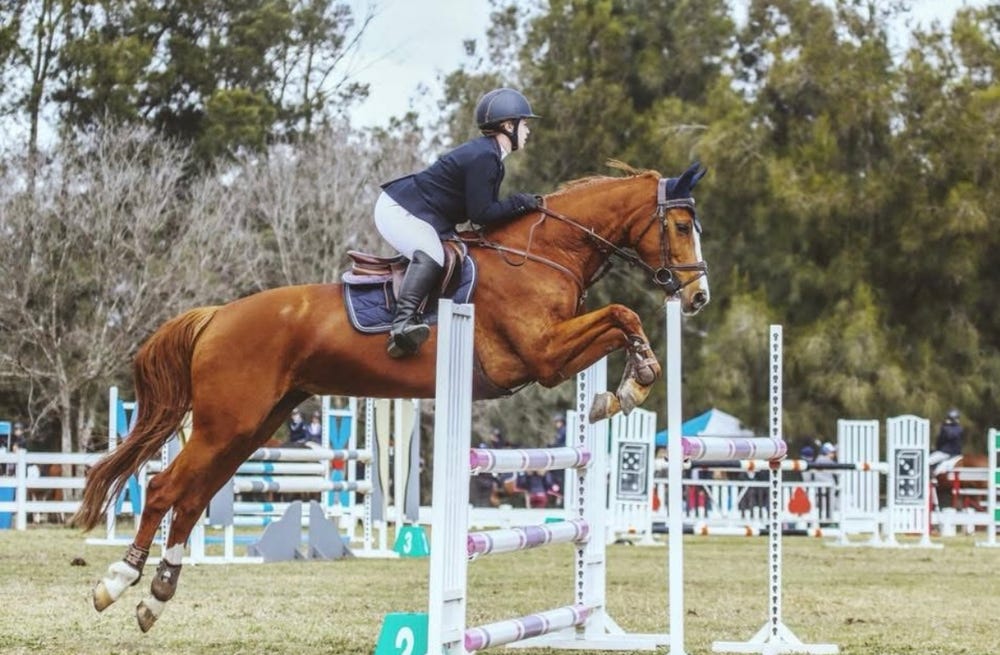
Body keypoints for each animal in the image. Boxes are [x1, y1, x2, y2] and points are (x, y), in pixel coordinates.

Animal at [73, 160, 711, 632]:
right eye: (681, 226)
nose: (698, 296)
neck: (541, 254)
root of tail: (216, 316)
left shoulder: (553, 355)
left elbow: (618, 320)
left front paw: (616, 392)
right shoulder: (543, 356)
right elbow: (623, 314)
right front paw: (634, 381)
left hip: (249, 428)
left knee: (192, 498)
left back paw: (156, 595)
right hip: (224, 424)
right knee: (165, 488)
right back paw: (116, 583)